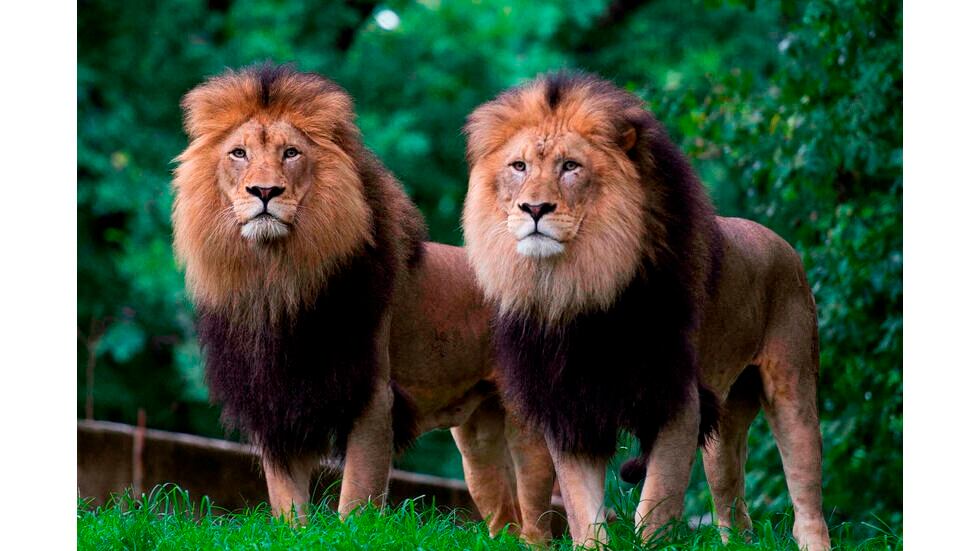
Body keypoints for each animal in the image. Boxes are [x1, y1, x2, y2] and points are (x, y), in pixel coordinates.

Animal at [171, 64, 555, 542]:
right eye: (238, 153)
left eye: (291, 153)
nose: (264, 191)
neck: (276, 280)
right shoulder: (279, 401)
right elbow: (287, 504)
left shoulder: (371, 397)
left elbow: (356, 497)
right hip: (478, 440)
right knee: (504, 514)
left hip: (526, 425)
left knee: (538, 520)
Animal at [462, 72, 832, 550]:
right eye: (519, 166)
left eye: (570, 166)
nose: (535, 209)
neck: (577, 288)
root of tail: (783, 245)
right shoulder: (571, 406)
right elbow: (583, 511)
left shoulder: (678, 398)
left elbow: (655, 507)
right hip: (725, 420)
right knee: (732, 503)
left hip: (793, 387)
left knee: (806, 493)